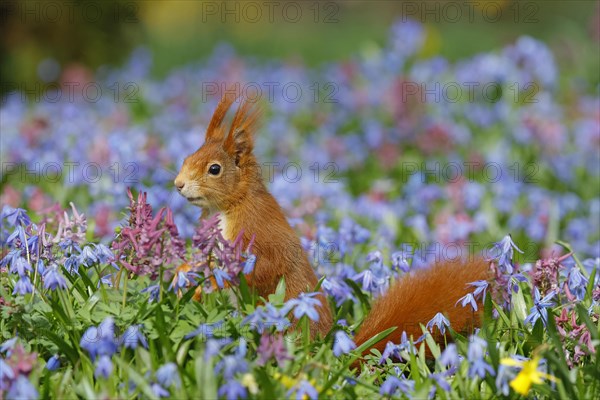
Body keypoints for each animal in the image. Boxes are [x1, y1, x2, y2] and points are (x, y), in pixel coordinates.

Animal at [175, 95, 492, 354]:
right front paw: (186, 273)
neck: (229, 206)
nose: (178, 184)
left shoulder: (256, 231)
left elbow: (264, 267)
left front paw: (219, 274)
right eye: (187, 157)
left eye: (214, 169)